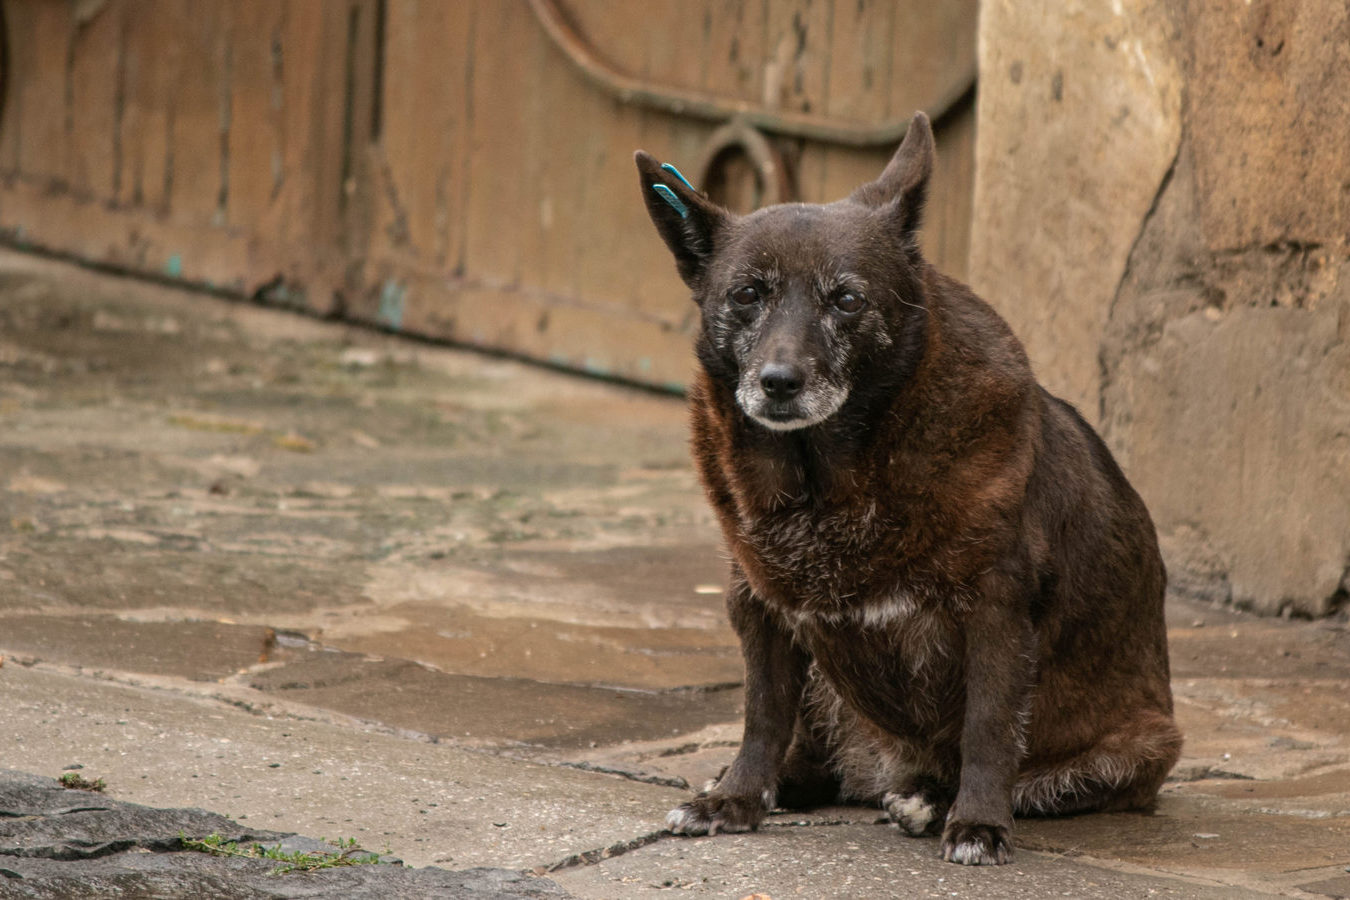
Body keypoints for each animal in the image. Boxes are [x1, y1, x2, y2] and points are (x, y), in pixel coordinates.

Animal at [631, 112, 1182, 863]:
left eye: (846, 298)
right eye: (747, 294)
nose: (778, 382)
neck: (829, 481)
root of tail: (883, 771)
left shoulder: (996, 613)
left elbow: (988, 731)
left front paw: (977, 823)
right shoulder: (761, 607)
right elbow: (761, 717)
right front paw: (736, 799)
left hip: (1139, 748)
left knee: (1018, 774)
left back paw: (930, 801)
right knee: (814, 758)